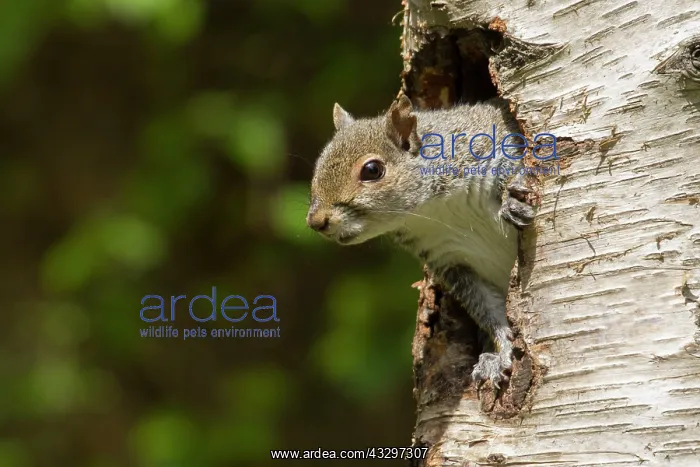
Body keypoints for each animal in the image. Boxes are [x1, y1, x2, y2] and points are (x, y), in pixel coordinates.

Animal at [306, 94, 535, 388]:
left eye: (372, 170)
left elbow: (516, 168)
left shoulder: (489, 147)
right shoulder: (450, 259)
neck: (434, 208)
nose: (316, 221)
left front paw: (513, 201)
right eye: (318, 166)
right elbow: (488, 312)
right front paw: (501, 351)